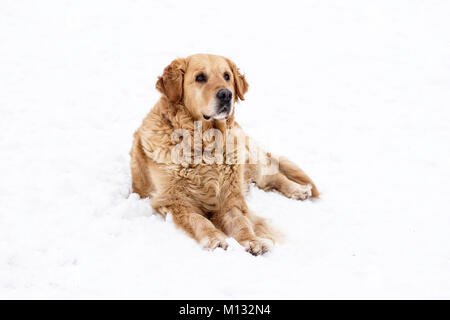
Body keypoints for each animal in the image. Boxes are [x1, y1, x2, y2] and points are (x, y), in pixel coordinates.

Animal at [130, 54, 318, 255]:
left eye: (227, 76)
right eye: (200, 77)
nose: (226, 94)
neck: (206, 145)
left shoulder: (228, 198)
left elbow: (240, 221)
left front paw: (252, 240)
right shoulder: (173, 201)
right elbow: (198, 220)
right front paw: (215, 239)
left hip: (249, 159)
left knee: (272, 176)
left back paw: (298, 190)